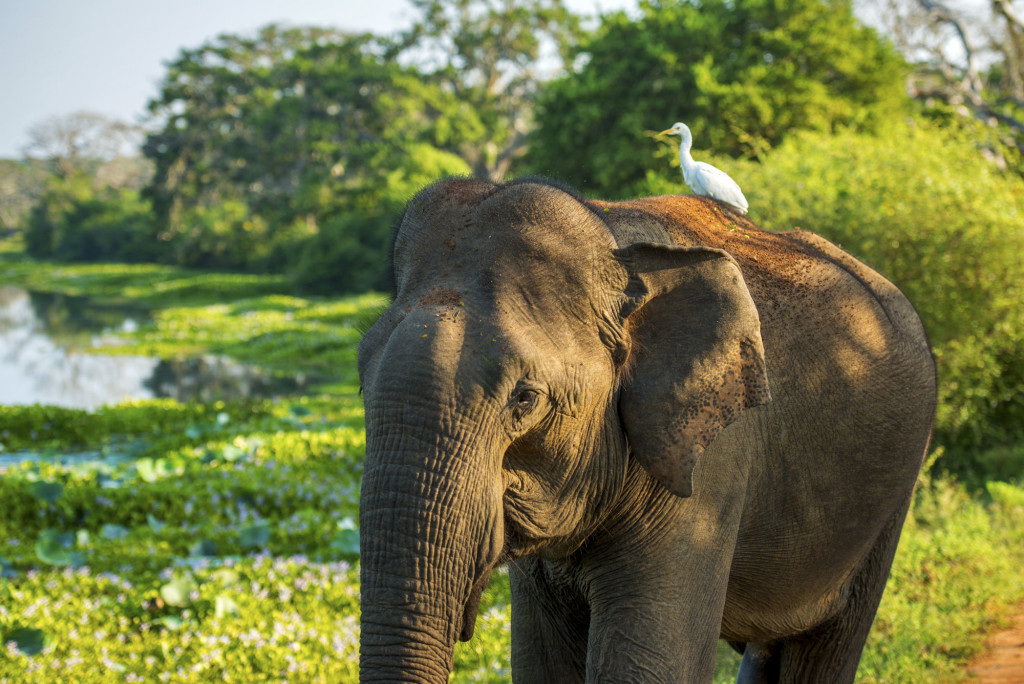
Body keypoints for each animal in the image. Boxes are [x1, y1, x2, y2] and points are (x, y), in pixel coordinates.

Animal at [358, 178, 937, 684]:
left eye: (525, 399)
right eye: (361, 380)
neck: (612, 237)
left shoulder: (712, 460)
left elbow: (648, 666)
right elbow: (543, 667)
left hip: (889, 500)